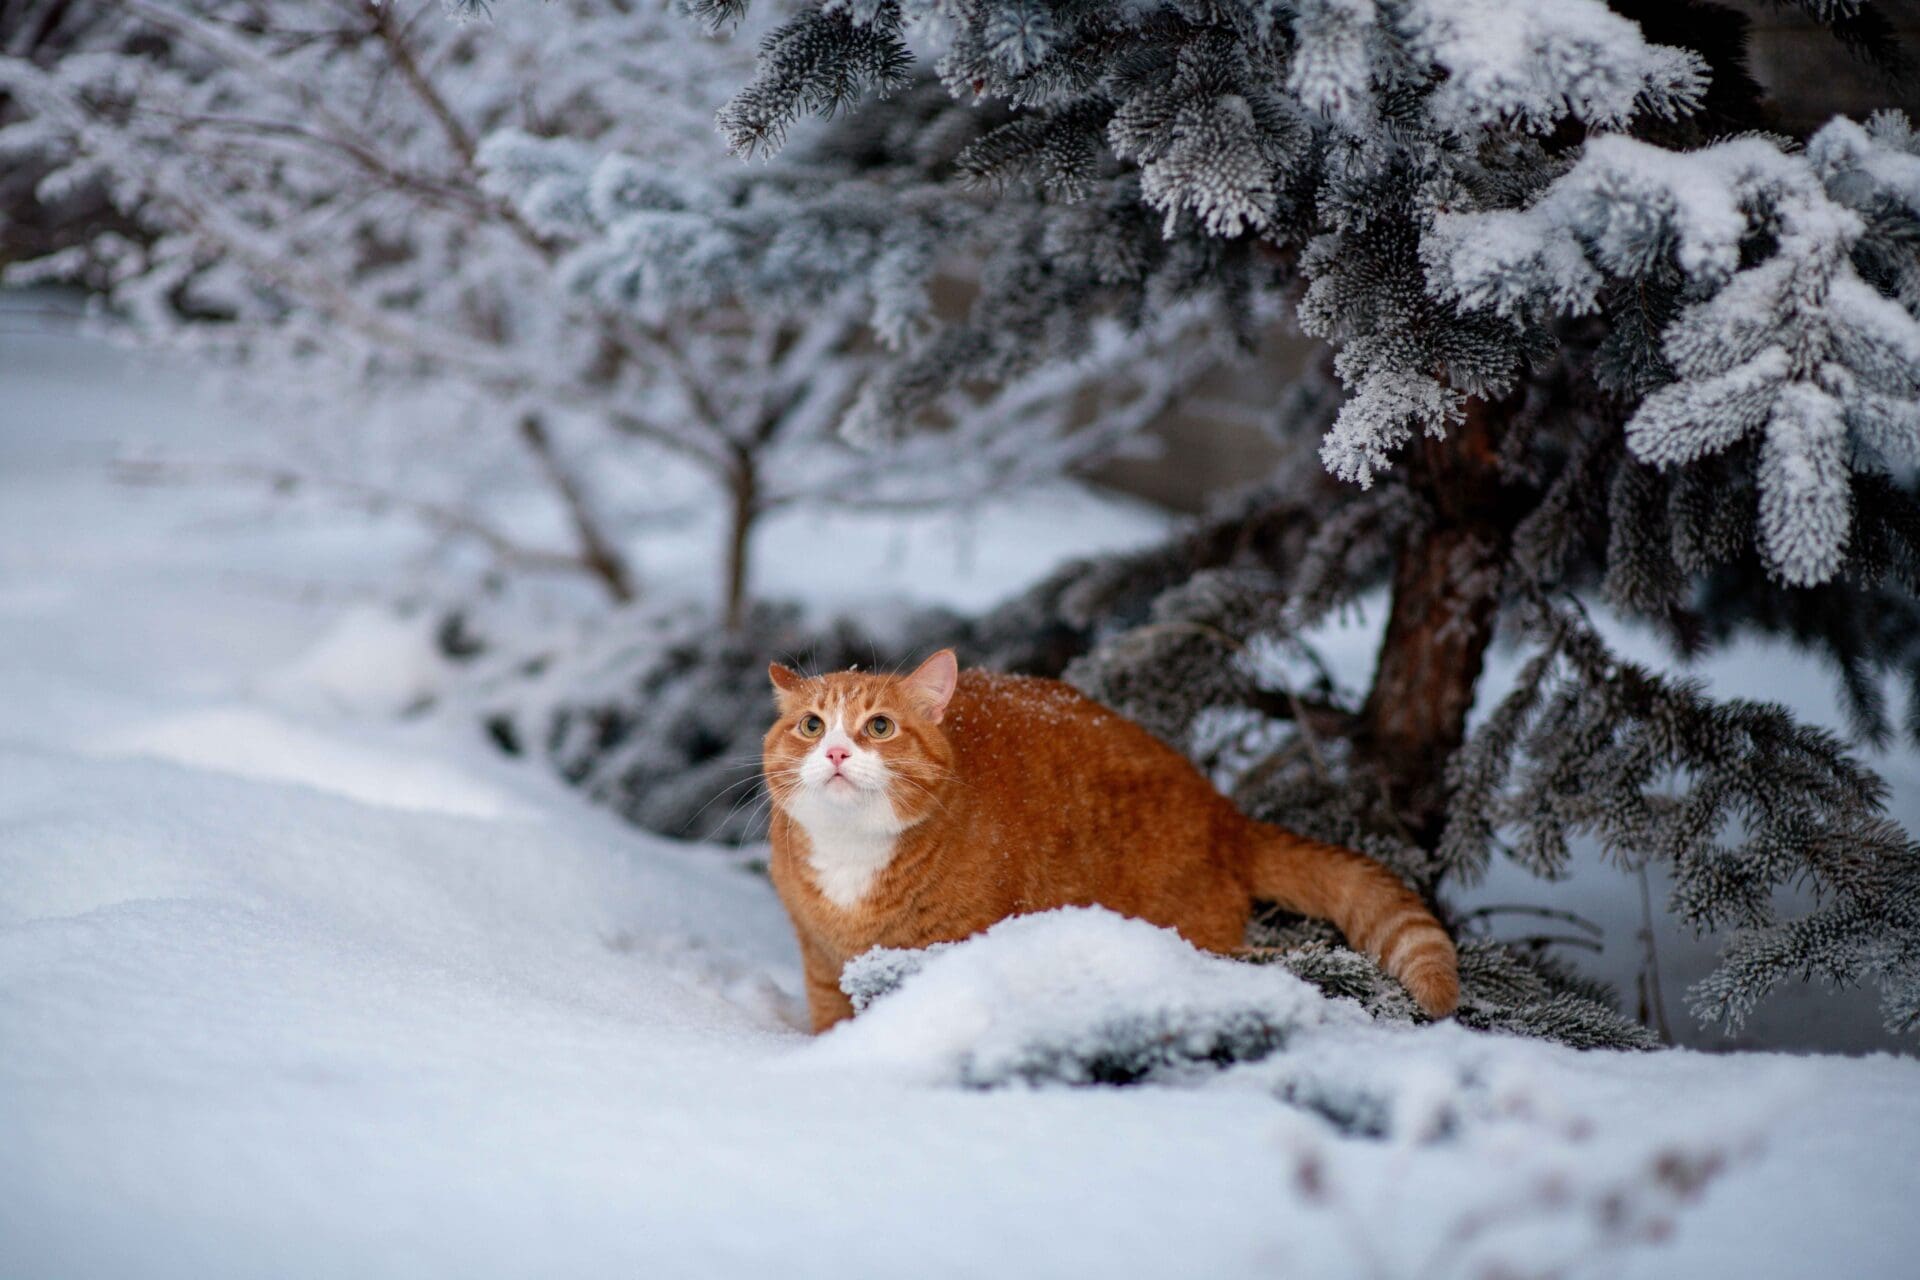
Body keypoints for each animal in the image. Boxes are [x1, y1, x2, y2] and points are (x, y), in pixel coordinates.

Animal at [764, 652, 1451, 1028]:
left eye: (879, 727)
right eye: (811, 725)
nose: (835, 751)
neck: (853, 859)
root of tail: (1224, 811)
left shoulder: (947, 949)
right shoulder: (821, 959)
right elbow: (831, 1017)